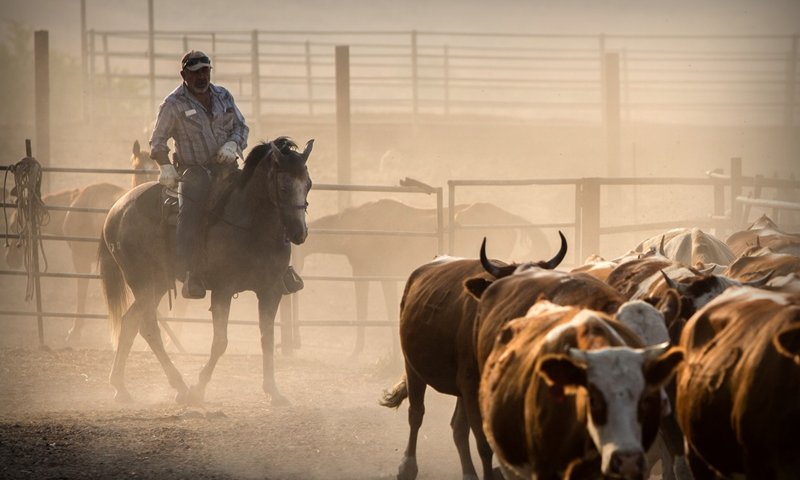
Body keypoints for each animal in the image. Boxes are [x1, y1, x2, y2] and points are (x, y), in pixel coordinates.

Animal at [98, 137, 314, 404]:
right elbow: (220, 342)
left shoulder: (271, 290)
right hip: (141, 279)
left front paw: (273, 391)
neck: (251, 226)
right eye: (283, 187)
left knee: (130, 322)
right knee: (148, 326)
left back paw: (120, 386)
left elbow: (267, 338)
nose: (299, 233)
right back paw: (180, 387)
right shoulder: (223, 289)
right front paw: (199, 388)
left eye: (308, 184)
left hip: (158, 283)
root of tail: (117, 208)